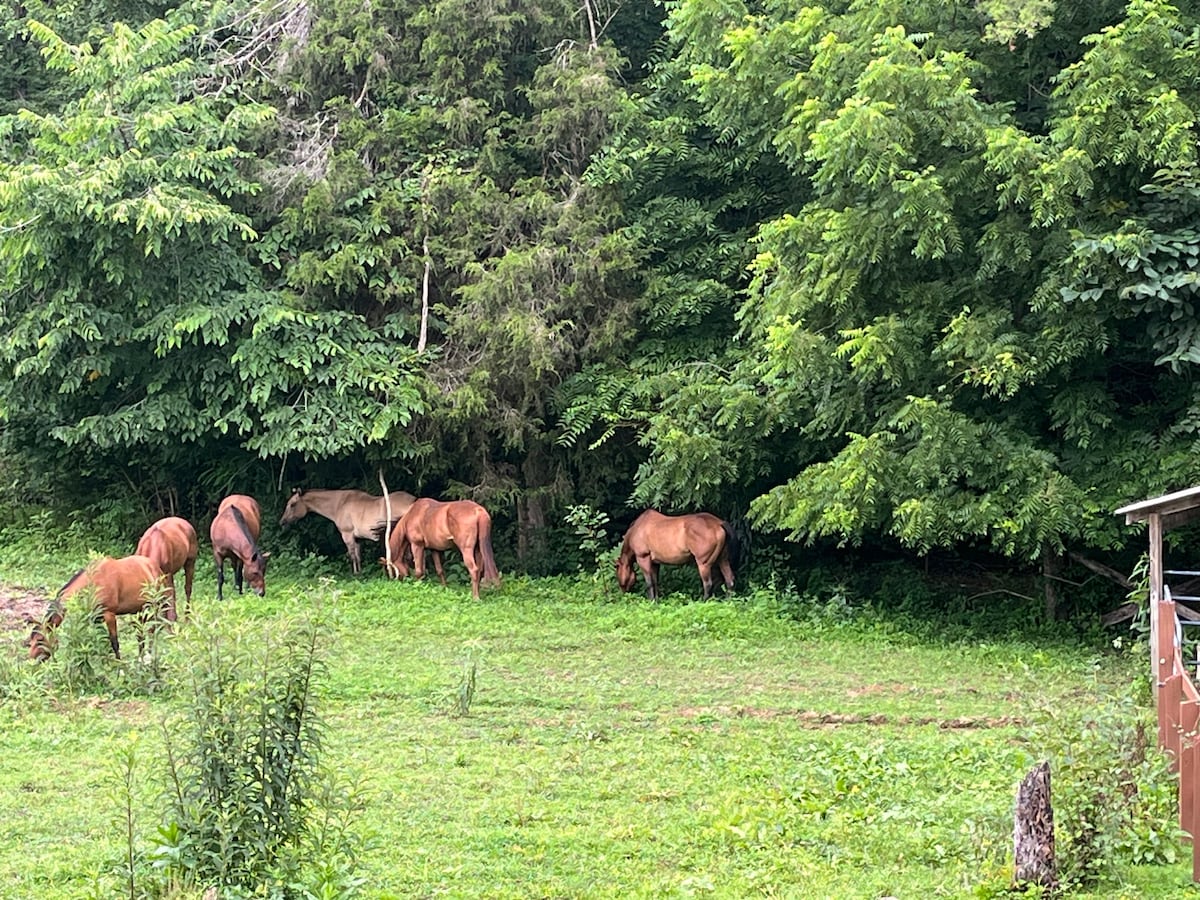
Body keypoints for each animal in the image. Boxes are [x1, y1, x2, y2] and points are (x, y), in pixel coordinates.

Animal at [27, 556, 171, 662]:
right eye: (30, 640)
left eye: (40, 639)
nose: (32, 659)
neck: (93, 583)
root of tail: (155, 566)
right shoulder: (94, 618)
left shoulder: (109, 614)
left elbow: (114, 642)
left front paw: (119, 666)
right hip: (140, 609)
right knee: (141, 633)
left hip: (155, 605)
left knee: (153, 628)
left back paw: (148, 656)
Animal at [280, 489, 417, 573]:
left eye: (292, 504)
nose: (282, 522)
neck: (340, 504)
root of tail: (414, 501)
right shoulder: (358, 538)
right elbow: (358, 555)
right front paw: (360, 572)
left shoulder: (347, 535)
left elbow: (352, 556)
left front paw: (355, 574)